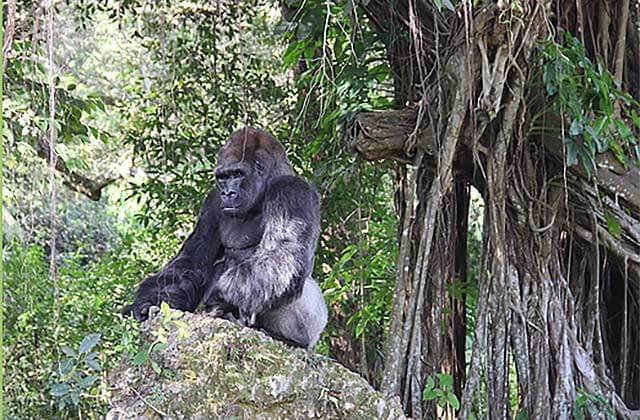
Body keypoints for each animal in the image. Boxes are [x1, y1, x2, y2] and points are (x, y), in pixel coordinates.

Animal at [123, 126, 328, 350]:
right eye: (223, 177)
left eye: (237, 174)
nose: (227, 193)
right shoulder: (213, 201)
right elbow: (192, 262)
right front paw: (145, 302)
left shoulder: (292, 190)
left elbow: (282, 255)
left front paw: (217, 297)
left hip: (309, 334)